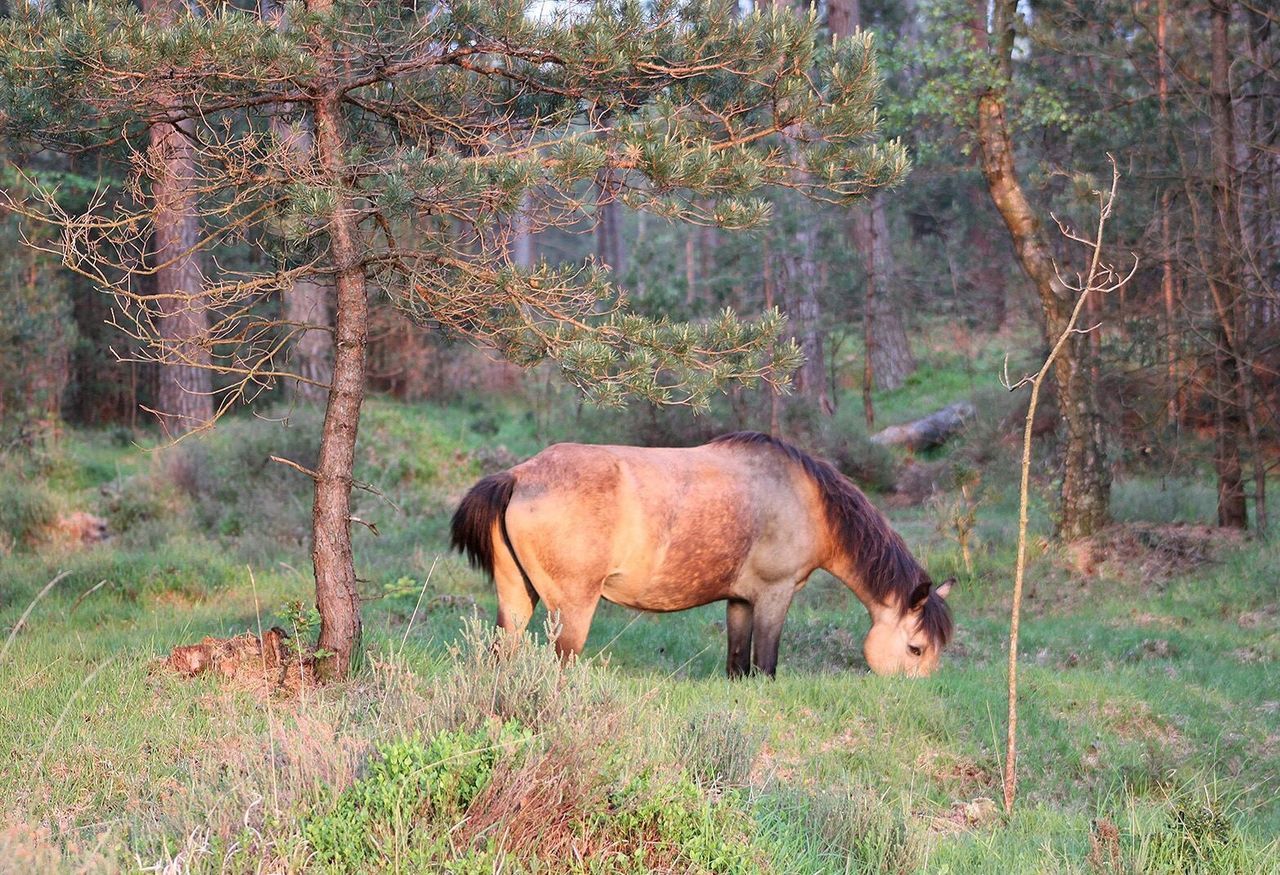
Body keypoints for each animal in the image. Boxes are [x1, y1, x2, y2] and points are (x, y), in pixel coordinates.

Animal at [450, 429, 952, 675]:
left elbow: (738, 665)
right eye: (915, 648)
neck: (803, 498)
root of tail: (518, 475)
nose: (912, 694)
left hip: (517, 597)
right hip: (572, 608)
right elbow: (765, 666)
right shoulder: (775, 596)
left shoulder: (740, 601)